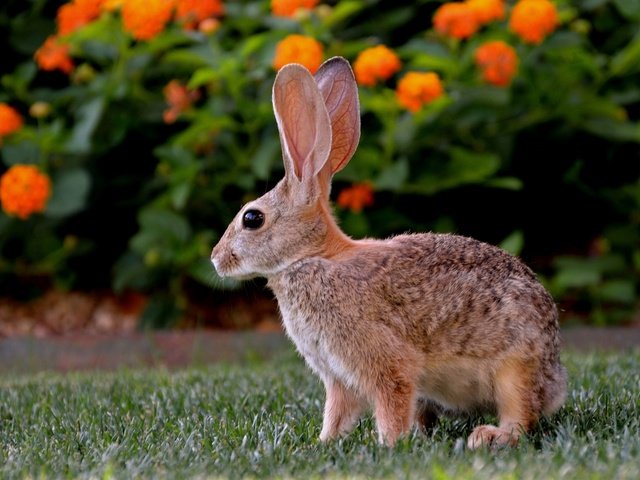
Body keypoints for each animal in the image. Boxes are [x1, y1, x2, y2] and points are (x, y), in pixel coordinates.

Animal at [212, 57, 568, 450]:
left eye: (252, 218)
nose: (216, 258)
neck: (313, 258)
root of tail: (555, 380)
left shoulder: (382, 361)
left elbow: (389, 400)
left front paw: (389, 445)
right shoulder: (338, 376)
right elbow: (337, 411)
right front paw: (324, 442)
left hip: (516, 367)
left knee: (521, 415)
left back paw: (489, 436)